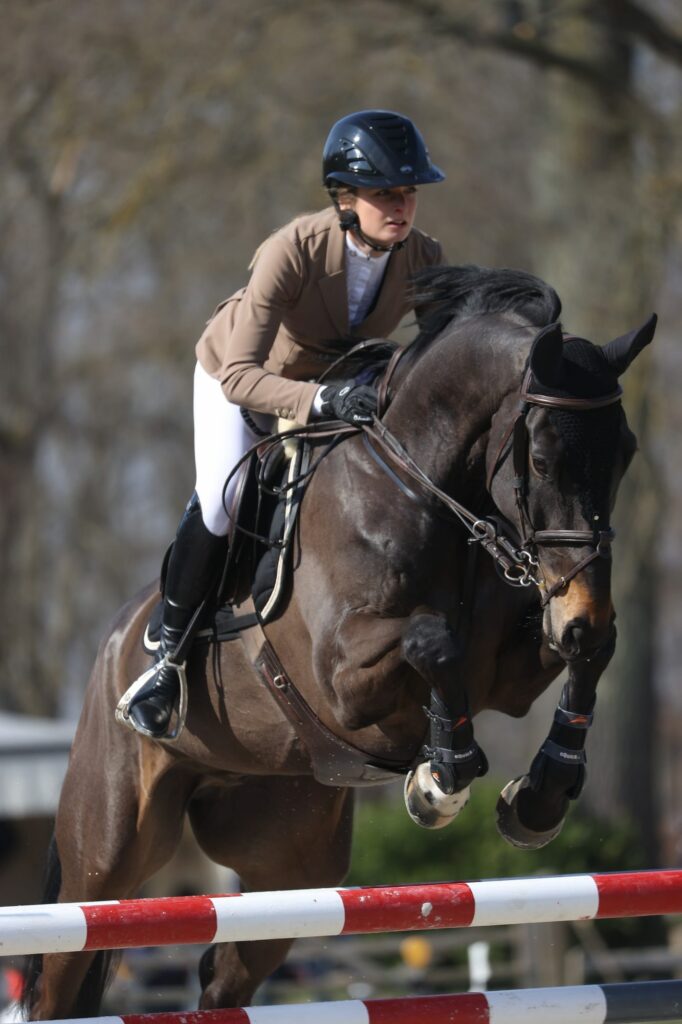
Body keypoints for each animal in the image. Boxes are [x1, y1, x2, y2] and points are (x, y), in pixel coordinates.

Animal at [22, 266, 656, 1017]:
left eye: (626, 453)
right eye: (542, 457)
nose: (579, 609)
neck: (424, 486)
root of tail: (113, 644)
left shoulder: (509, 673)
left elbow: (589, 652)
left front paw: (541, 793)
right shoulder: (342, 677)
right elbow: (433, 641)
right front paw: (441, 774)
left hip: (289, 859)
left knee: (225, 974)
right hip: (106, 854)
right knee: (62, 974)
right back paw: (154, 690)